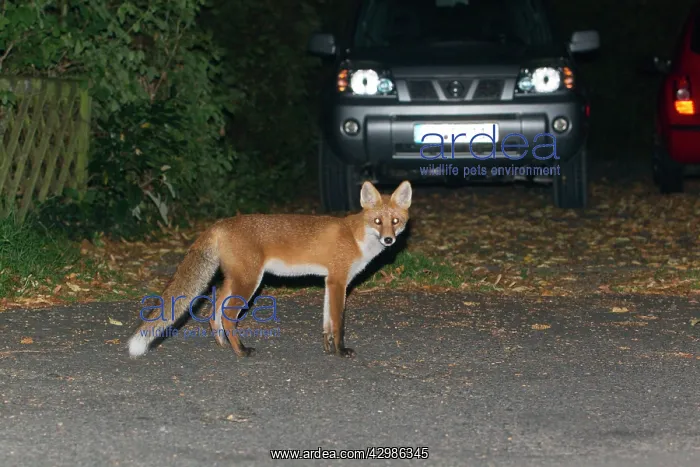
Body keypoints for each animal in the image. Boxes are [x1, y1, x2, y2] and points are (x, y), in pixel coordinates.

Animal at [127, 180, 412, 359]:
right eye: (378, 221)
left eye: (395, 221)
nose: (389, 240)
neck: (356, 238)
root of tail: (220, 223)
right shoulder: (338, 281)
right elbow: (338, 323)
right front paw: (341, 352)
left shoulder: (329, 281)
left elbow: (326, 323)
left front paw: (328, 349)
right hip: (249, 281)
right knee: (227, 316)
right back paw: (241, 351)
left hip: (236, 280)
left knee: (214, 310)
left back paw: (223, 345)